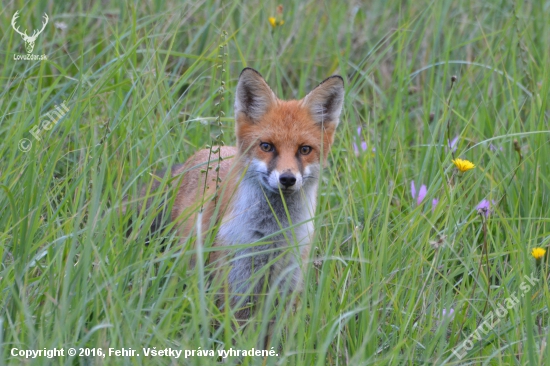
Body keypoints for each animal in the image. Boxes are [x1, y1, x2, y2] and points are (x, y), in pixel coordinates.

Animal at [130, 67, 344, 322]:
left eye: (304, 149)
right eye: (266, 146)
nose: (287, 179)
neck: (272, 234)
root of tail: (206, 153)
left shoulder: (287, 286)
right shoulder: (235, 286)